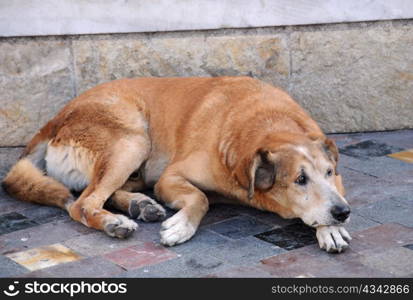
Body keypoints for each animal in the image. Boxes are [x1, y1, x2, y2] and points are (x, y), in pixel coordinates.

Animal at [3, 77, 350, 253]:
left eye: (328, 173)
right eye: (300, 180)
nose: (343, 213)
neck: (266, 124)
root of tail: (55, 119)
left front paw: (331, 230)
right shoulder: (172, 176)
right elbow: (201, 198)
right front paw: (181, 226)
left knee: (105, 192)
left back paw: (140, 205)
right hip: (132, 140)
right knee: (83, 203)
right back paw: (115, 222)